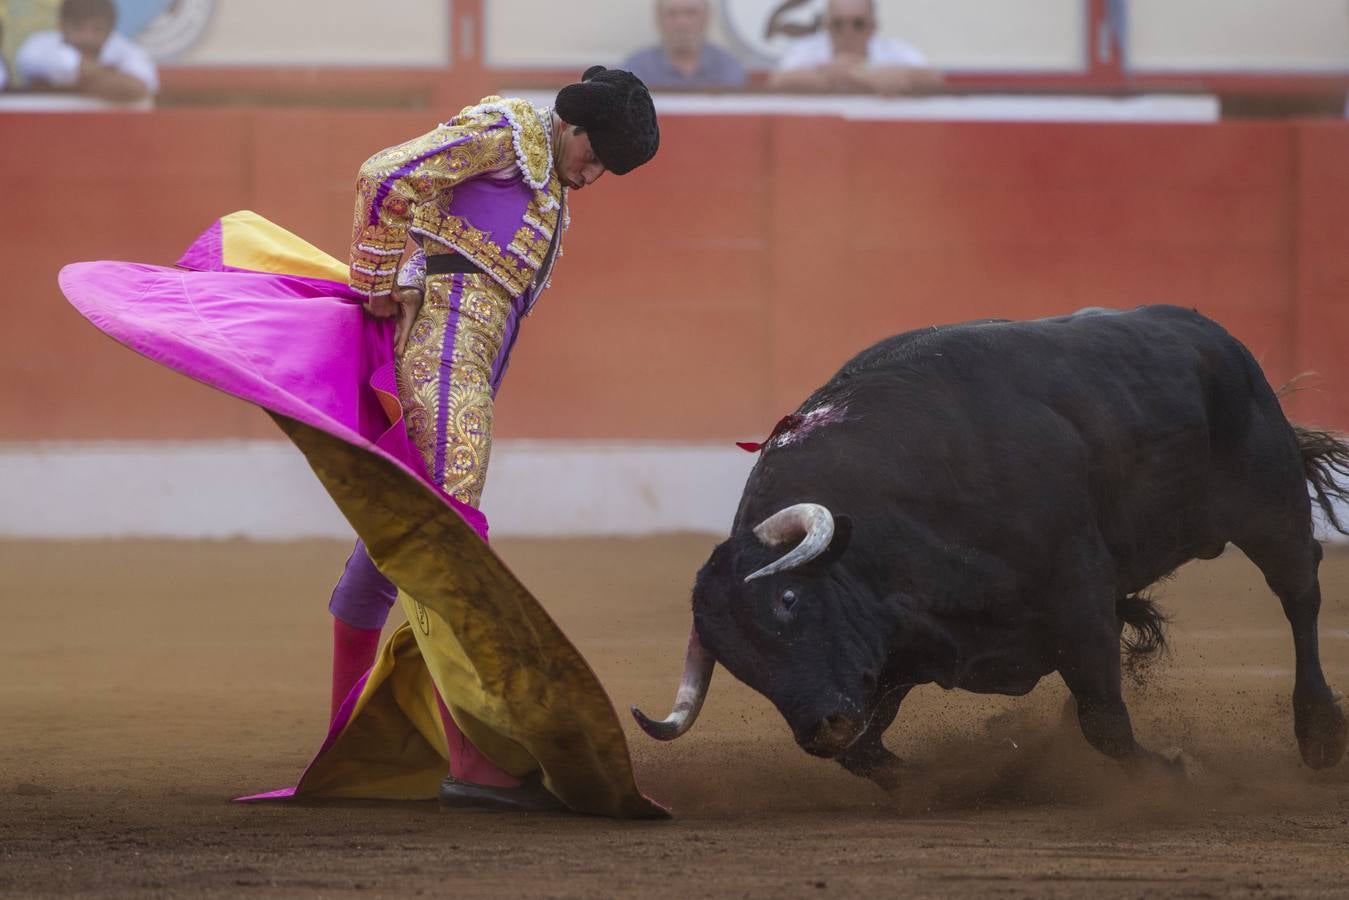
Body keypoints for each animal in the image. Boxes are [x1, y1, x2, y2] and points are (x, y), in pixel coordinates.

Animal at [631, 306, 1349, 793]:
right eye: (737, 662)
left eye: (788, 598)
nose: (819, 727)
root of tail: (1213, 334)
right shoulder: (896, 652)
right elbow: (867, 750)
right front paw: (925, 780)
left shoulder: (1077, 595)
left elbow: (1105, 721)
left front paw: (1174, 771)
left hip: (1270, 506)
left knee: (1300, 593)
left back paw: (1318, 733)